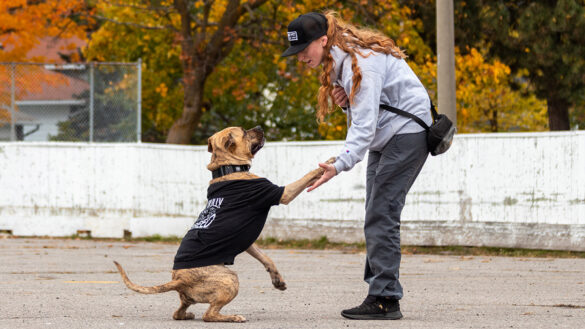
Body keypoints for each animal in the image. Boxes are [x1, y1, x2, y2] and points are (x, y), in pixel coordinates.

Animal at [114, 125, 334, 320]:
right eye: (244, 131)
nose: (260, 127)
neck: (226, 169)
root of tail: (178, 279)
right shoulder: (283, 193)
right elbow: (307, 175)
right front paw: (329, 162)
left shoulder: (247, 242)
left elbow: (266, 258)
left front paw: (277, 279)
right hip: (230, 279)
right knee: (209, 315)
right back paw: (233, 317)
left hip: (193, 296)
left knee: (179, 312)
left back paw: (188, 314)